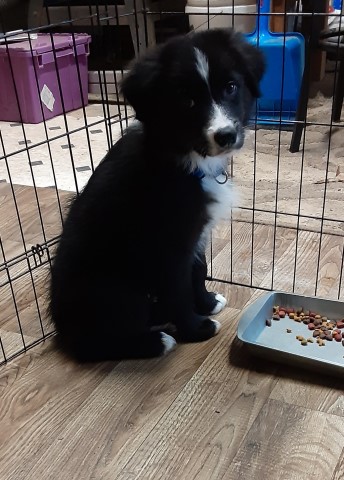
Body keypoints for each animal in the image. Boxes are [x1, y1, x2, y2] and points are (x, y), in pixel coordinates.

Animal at [48, 28, 264, 360]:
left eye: (231, 87)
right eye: (186, 100)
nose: (226, 136)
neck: (184, 156)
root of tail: (61, 327)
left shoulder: (195, 233)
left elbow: (198, 270)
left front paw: (206, 303)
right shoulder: (169, 245)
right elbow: (179, 289)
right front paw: (196, 328)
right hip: (119, 289)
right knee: (92, 346)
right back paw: (155, 341)